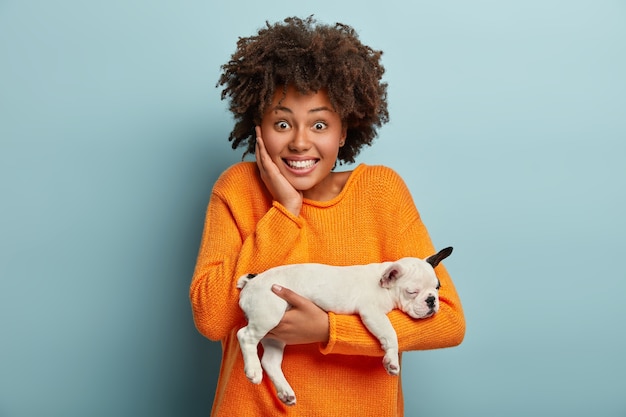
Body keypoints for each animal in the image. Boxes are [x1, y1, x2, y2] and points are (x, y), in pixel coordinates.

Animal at [236, 245, 450, 404]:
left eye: (437, 287)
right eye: (412, 292)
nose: (431, 300)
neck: (386, 286)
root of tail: (251, 283)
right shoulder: (372, 312)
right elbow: (390, 334)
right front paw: (391, 361)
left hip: (276, 334)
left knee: (270, 361)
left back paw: (285, 391)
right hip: (269, 313)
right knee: (245, 336)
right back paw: (253, 370)